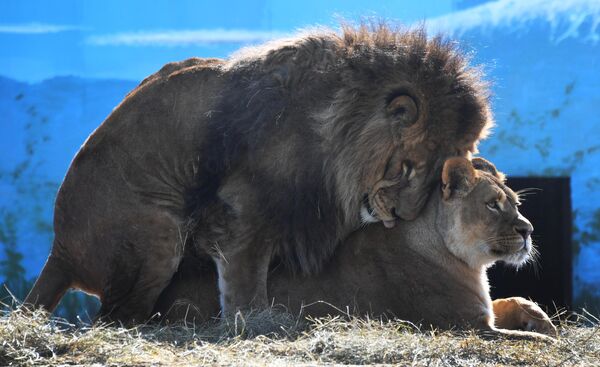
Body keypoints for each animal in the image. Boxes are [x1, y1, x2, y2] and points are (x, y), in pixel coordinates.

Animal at [23, 24, 492, 324]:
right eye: (411, 165)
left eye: (439, 173)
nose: (406, 216)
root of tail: (58, 248)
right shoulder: (243, 215)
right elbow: (245, 282)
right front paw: (253, 322)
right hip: (161, 232)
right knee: (114, 317)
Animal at [156, 157, 556, 340]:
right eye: (492, 205)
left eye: (516, 204)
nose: (528, 230)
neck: (469, 262)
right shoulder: (467, 326)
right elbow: (529, 339)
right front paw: (541, 332)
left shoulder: (482, 313)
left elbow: (510, 302)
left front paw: (539, 316)